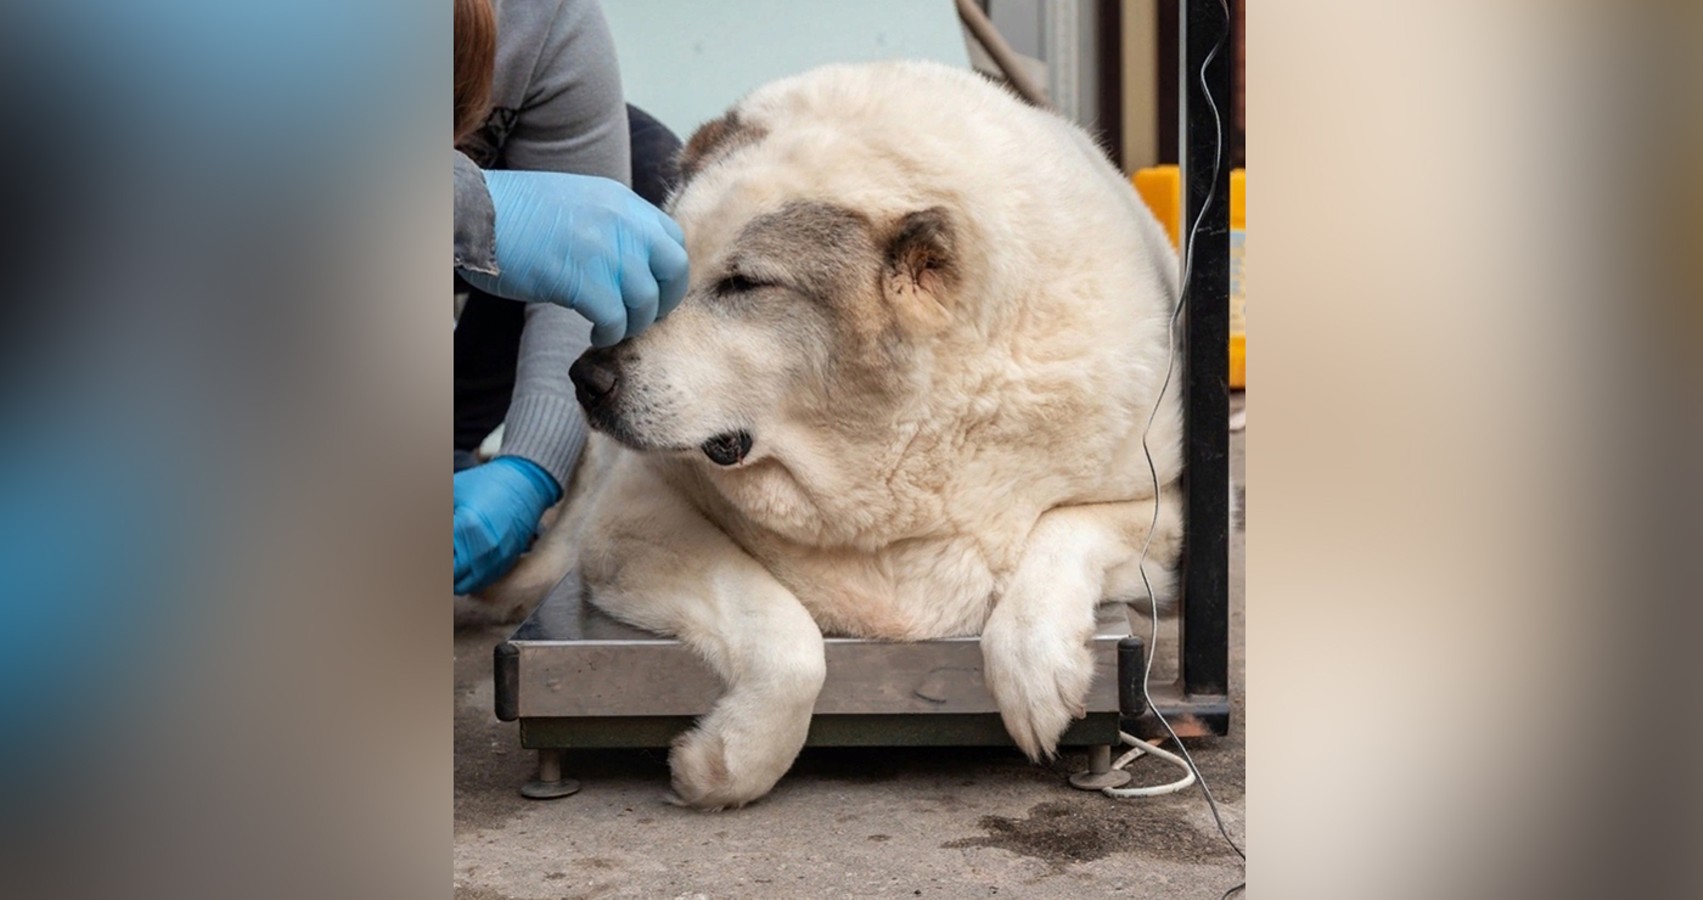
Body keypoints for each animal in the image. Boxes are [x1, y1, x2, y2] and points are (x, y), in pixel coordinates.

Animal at [493, 61, 1185, 807]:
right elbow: (788, 642)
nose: (586, 377)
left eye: (743, 284)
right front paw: (728, 762)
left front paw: (1035, 675)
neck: (891, 449)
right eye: (662, 272)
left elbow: (1062, 532)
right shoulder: (630, 521)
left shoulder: (1159, 511)